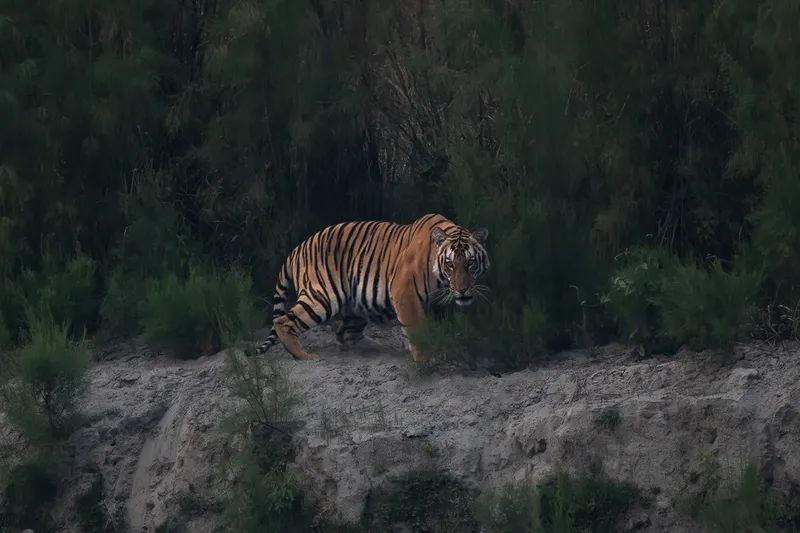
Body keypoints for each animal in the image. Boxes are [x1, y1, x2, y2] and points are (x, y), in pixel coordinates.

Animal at [253, 213, 490, 363]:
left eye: (470, 263)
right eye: (450, 264)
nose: (462, 290)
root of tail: (297, 248)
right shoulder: (405, 292)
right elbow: (416, 328)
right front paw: (425, 359)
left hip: (354, 307)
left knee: (344, 334)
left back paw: (371, 347)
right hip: (323, 296)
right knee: (283, 321)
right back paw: (303, 356)